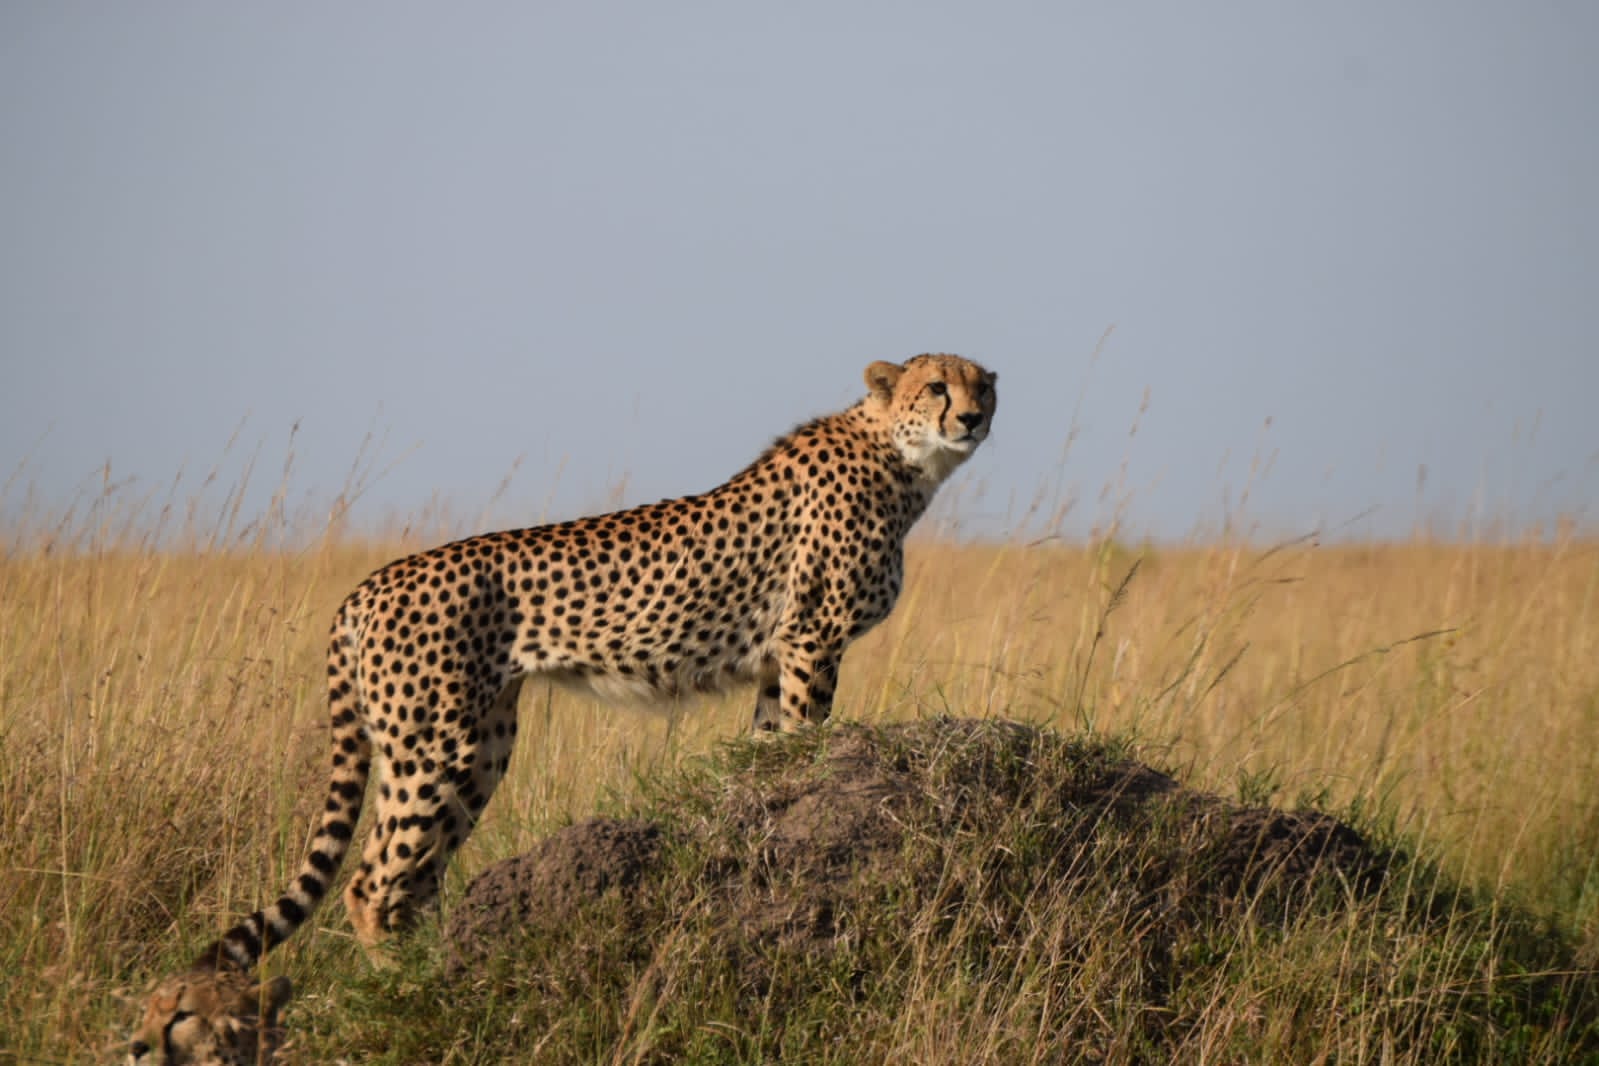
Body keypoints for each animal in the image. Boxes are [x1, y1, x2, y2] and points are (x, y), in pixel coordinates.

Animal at [131, 351, 991, 1061]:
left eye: (982, 385)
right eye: (934, 387)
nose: (972, 418)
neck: (899, 458)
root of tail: (367, 585)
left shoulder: (779, 659)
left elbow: (767, 749)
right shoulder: (812, 640)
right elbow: (805, 736)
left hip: (480, 743)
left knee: (414, 878)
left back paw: (437, 965)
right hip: (435, 745)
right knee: (370, 881)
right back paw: (404, 988)